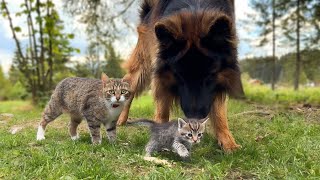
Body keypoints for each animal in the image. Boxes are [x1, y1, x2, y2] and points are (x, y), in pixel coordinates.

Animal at [119, 0, 244, 152]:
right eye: (179, 76)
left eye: (210, 75)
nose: (195, 118)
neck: (195, 10)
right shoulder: (160, 71)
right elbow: (162, 108)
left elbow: (219, 112)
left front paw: (228, 142)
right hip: (143, 63)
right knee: (128, 84)